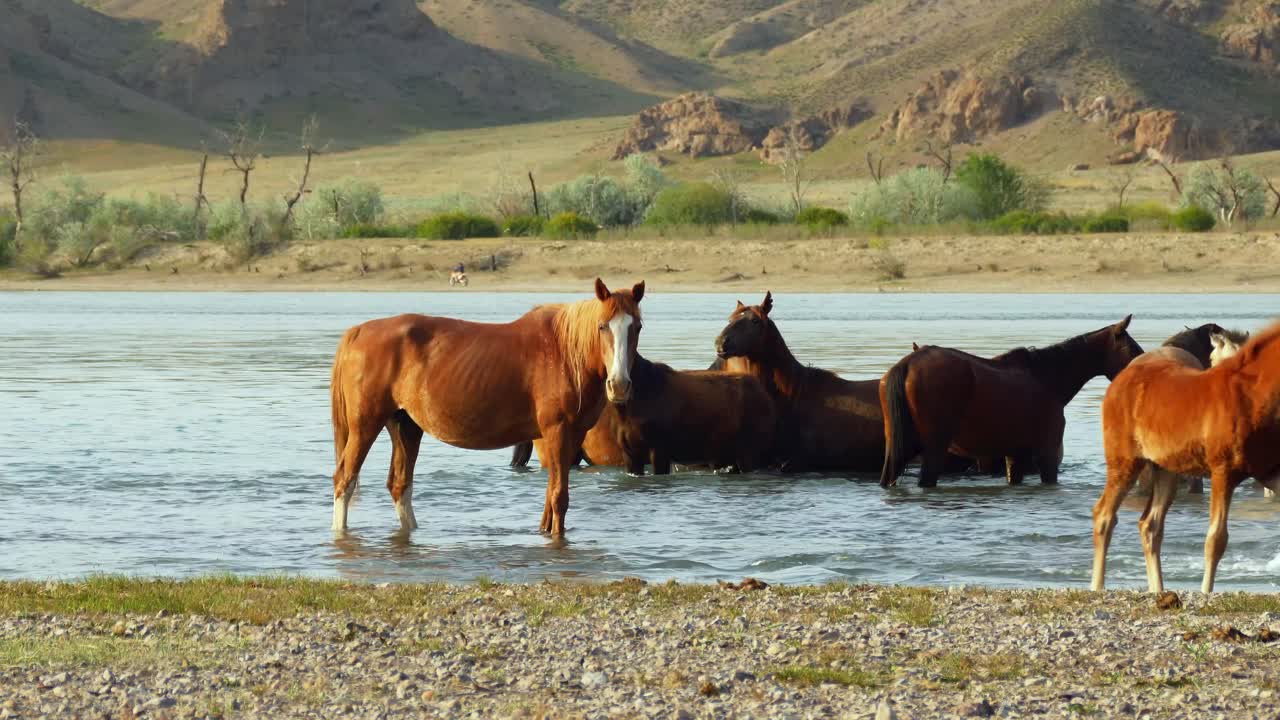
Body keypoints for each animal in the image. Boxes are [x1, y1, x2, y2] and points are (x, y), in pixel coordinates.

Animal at [329, 278, 644, 537]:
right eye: (602, 326)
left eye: (637, 327)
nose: (619, 385)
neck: (563, 352)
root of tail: (358, 331)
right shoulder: (557, 431)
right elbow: (558, 497)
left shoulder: (572, 435)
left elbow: (551, 497)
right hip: (365, 425)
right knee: (345, 479)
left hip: (405, 425)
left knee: (399, 485)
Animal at [880, 316, 1144, 488]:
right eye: (1132, 349)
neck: (1045, 377)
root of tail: (909, 362)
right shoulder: (1046, 453)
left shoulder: (1015, 455)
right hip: (934, 448)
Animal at [1091, 321, 1280, 593]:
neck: (1251, 397)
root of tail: (1122, 378)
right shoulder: (1223, 472)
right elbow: (1216, 539)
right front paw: (1206, 593)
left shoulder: (1270, 473)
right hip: (1125, 464)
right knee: (1104, 516)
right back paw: (1097, 587)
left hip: (1166, 470)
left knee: (1150, 526)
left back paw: (1158, 590)